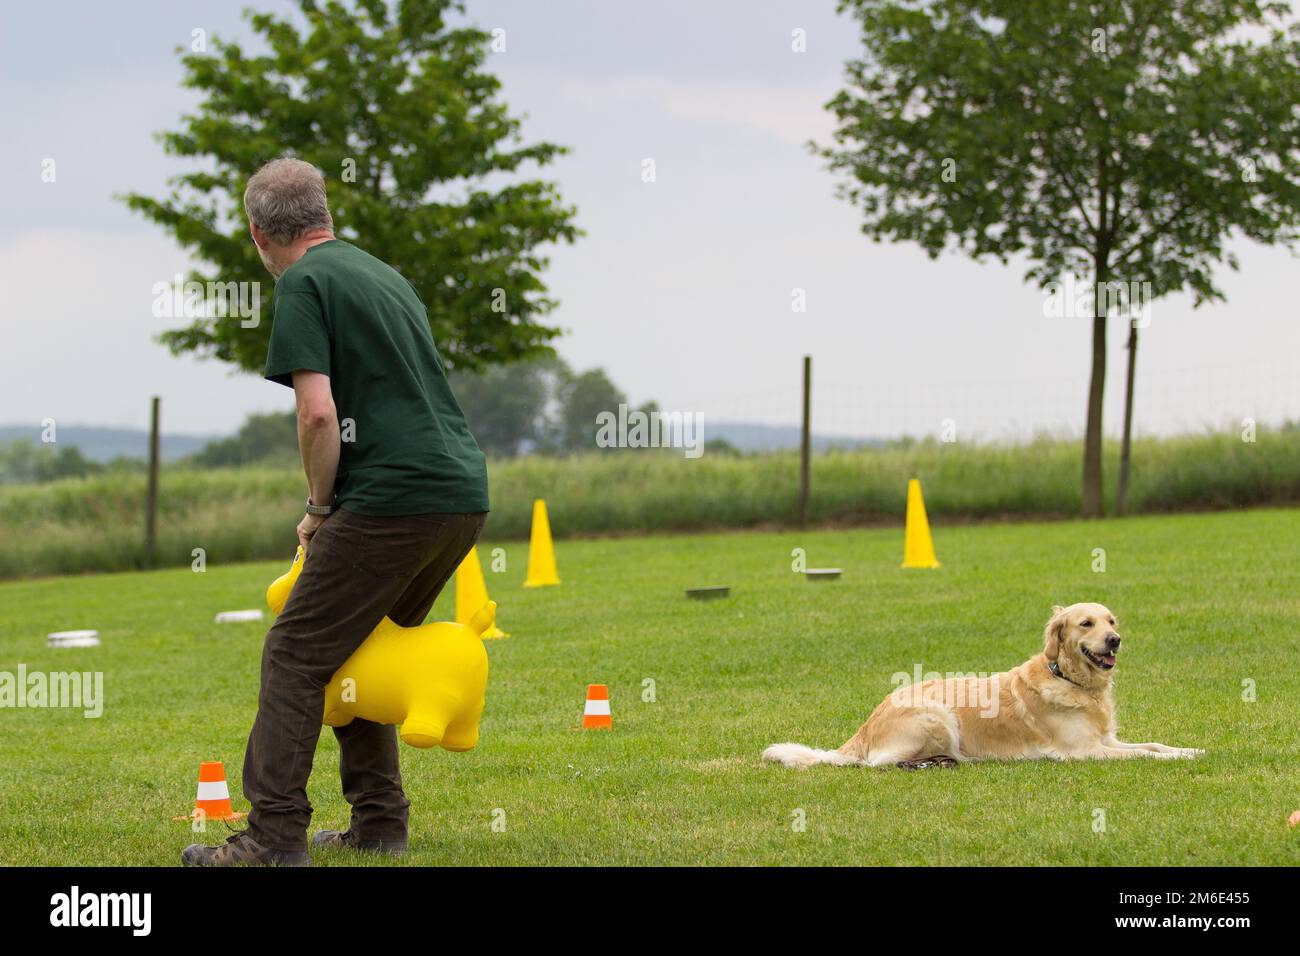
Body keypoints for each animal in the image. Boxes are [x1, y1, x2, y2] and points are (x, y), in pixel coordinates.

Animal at [759, 606, 1196, 770]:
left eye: (1111, 621)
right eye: (1086, 624)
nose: (1115, 640)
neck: (1068, 678)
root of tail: (866, 726)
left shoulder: (1107, 740)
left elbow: (1155, 745)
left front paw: (1190, 750)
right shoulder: (1084, 751)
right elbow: (1144, 754)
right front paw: (1179, 758)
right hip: (937, 716)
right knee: (881, 763)